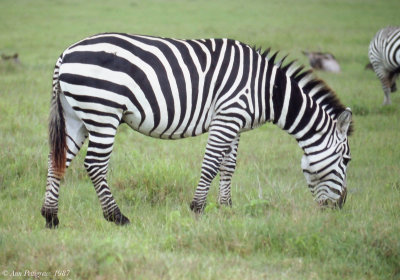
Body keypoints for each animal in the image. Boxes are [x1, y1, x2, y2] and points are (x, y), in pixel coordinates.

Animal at [41, 32, 354, 228]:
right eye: (346, 160)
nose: (340, 208)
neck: (268, 90)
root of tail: (66, 53)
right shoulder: (227, 116)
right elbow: (211, 164)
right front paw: (197, 209)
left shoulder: (235, 122)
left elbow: (229, 166)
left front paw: (227, 207)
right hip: (103, 111)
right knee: (94, 164)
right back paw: (117, 217)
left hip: (76, 116)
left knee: (57, 160)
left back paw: (51, 217)